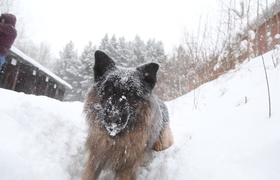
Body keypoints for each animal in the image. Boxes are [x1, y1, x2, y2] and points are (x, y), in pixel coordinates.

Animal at [82, 50, 173, 179]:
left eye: (131, 94)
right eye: (109, 90)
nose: (113, 118)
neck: (115, 140)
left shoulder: (127, 166)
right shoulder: (95, 157)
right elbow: (89, 175)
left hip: (161, 142)